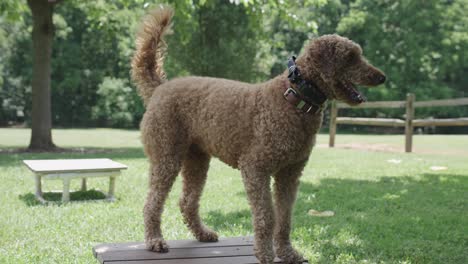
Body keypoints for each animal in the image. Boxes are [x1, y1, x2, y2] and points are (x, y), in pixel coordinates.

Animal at [131, 6, 384, 264]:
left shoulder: (289, 174)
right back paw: (155, 240)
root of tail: (160, 87)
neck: (294, 98)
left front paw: (286, 252)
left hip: (197, 160)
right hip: (166, 155)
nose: (381, 77)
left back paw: (202, 233)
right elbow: (267, 216)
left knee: (187, 201)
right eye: (350, 57)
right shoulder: (255, 168)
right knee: (152, 203)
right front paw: (265, 253)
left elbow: (285, 218)